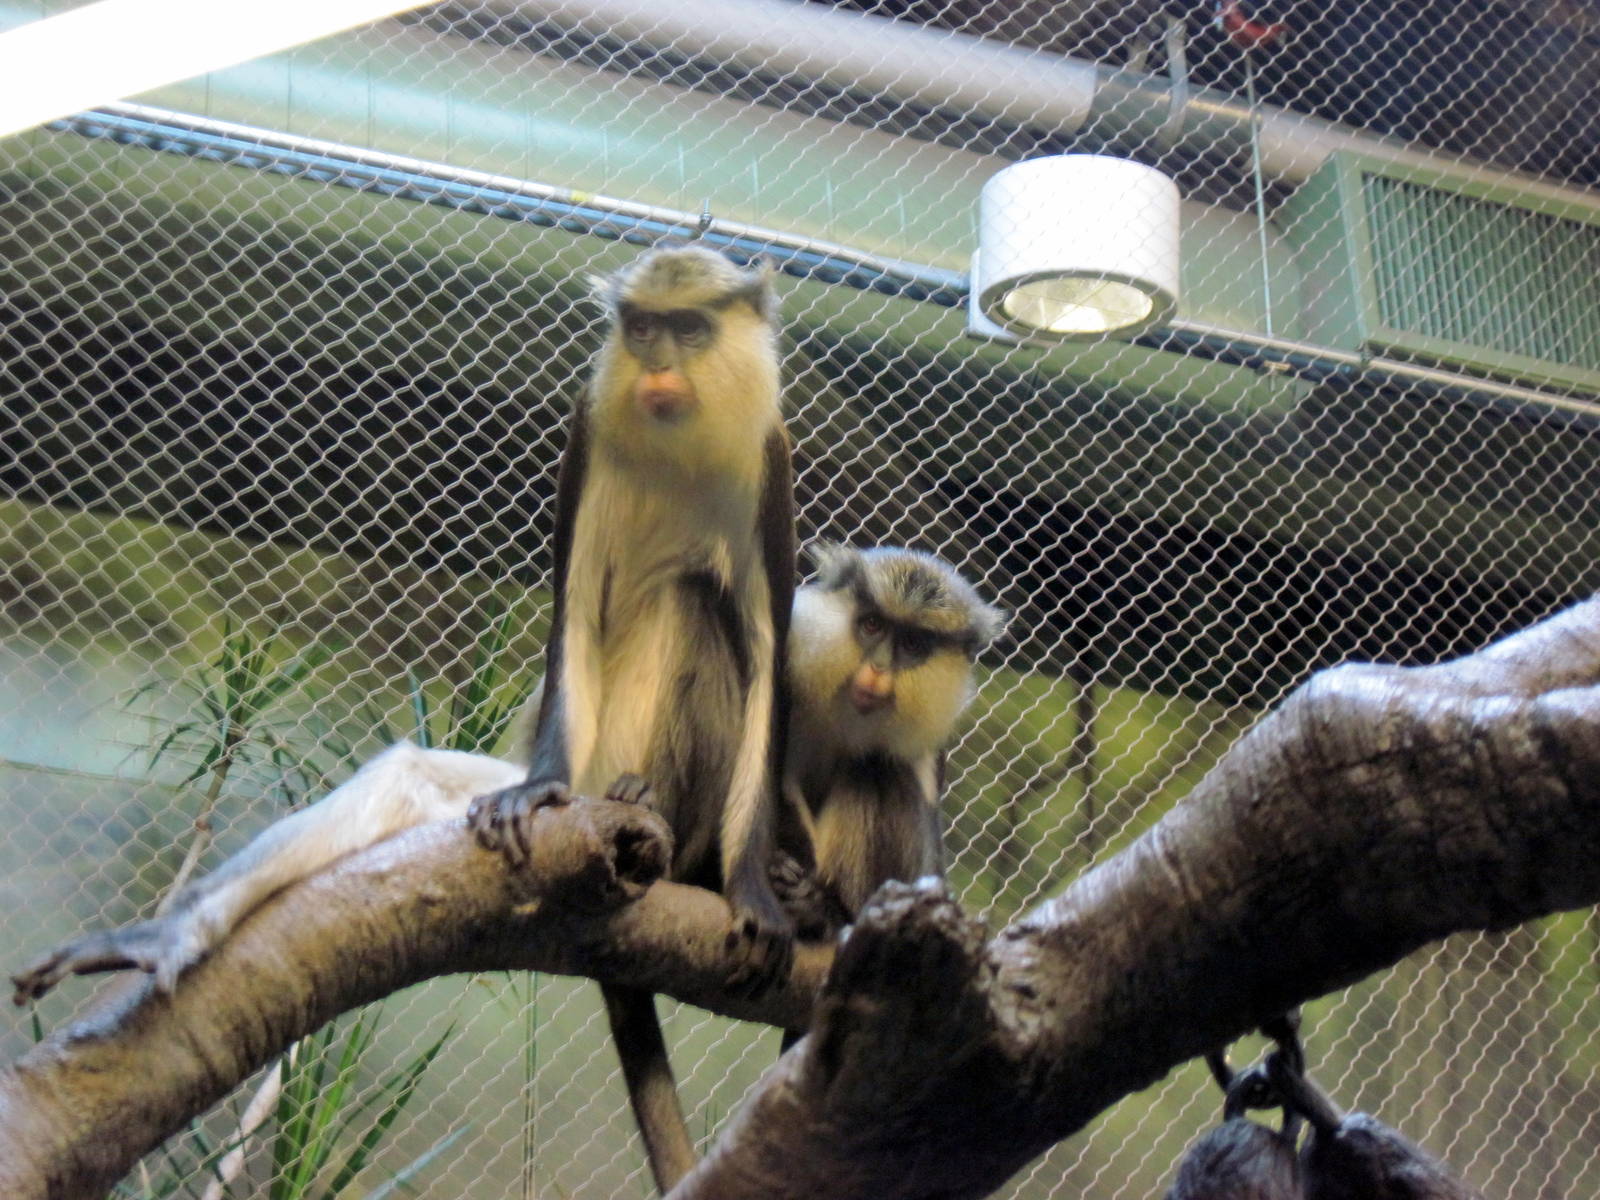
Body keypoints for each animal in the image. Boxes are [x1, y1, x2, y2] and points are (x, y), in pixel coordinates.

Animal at [465, 244, 799, 1194]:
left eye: (689, 328)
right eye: (643, 327)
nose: (656, 368)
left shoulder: (770, 462)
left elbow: (769, 656)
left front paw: (754, 887)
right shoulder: (588, 433)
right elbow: (572, 616)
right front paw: (534, 794)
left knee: (697, 603)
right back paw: (626, 798)